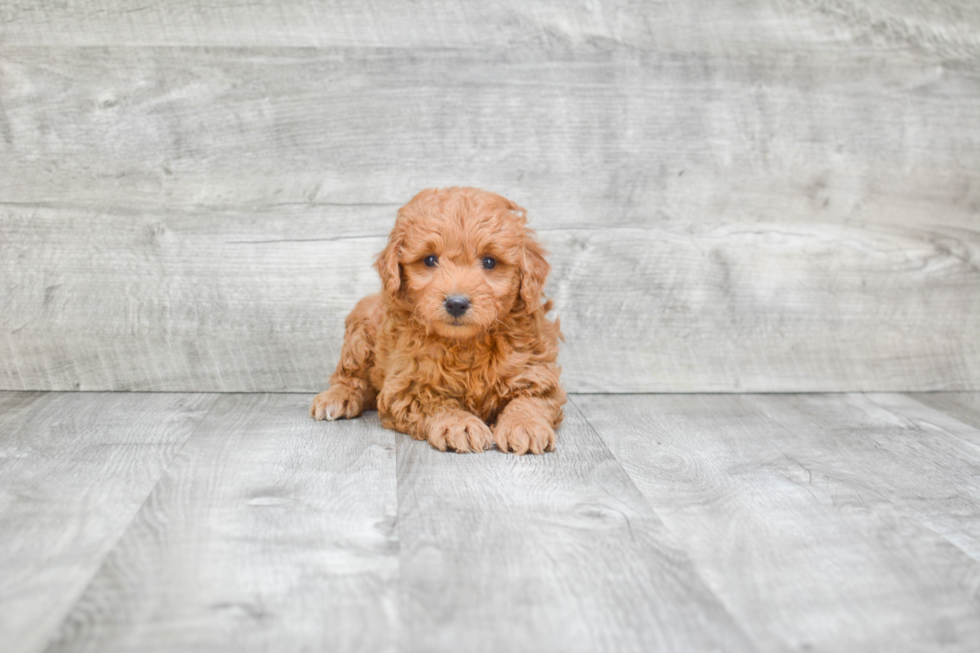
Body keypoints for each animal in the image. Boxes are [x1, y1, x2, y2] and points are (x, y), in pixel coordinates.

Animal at [310, 185, 564, 454]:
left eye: (489, 261)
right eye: (430, 260)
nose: (456, 303)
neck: (466, 344)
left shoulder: (536, 371)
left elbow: (530, 400)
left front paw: (525, 425)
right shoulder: (408, 385)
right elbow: (436, 402)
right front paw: (460, 425)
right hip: (361, 327)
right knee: (351, 376)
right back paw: (336, 397)